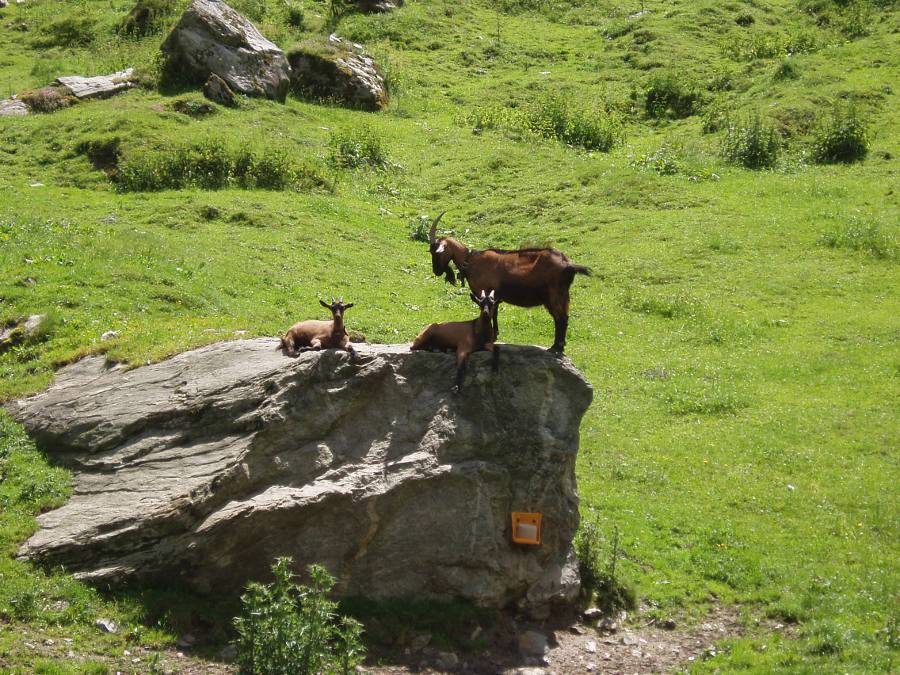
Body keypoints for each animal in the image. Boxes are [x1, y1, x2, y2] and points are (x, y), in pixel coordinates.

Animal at [427, 212, 590, 354]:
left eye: (435, 252)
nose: (436, 271)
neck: (470, 260)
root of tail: (569, 265)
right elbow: (495, 313)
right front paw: (495, 334)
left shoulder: (484, 291)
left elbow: (490, 313)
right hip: (563, 295)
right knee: (564, 317)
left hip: (554, 295)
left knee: (560, 318)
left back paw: (556, 348)